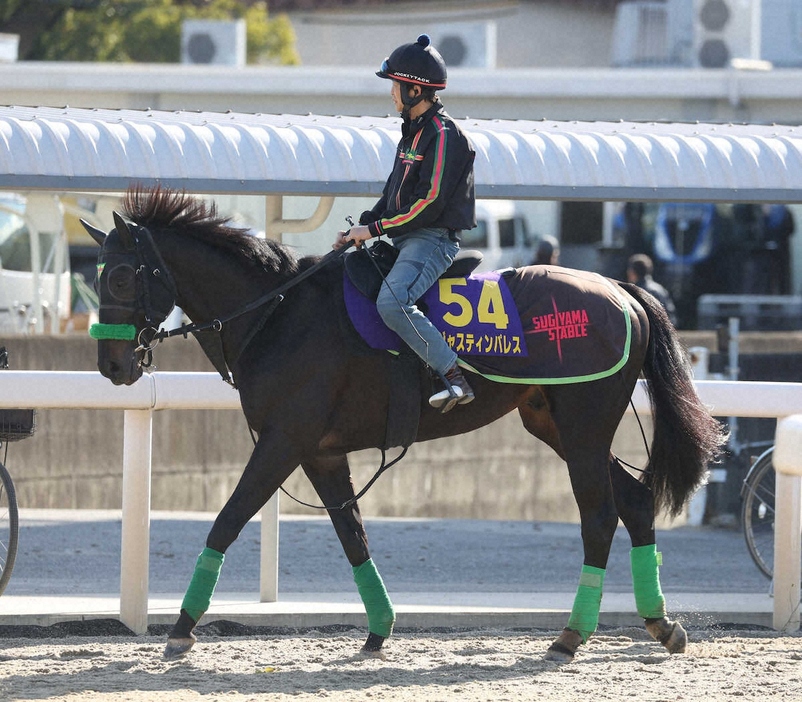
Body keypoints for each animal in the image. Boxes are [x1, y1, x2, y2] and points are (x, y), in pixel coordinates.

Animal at [83, 186, 724, 664]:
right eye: (94, 276)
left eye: (119, 278)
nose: (112, 366)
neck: (278, 313)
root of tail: (621, 290)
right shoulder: (319, 451)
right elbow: (352, 535)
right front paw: (379, 629)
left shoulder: (283, 441)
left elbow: (227, 520)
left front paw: (182, 627)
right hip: (556, 425)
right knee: (634, 500)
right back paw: (661, 623)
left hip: (585, 424)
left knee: (600, 515)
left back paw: (571, 636)